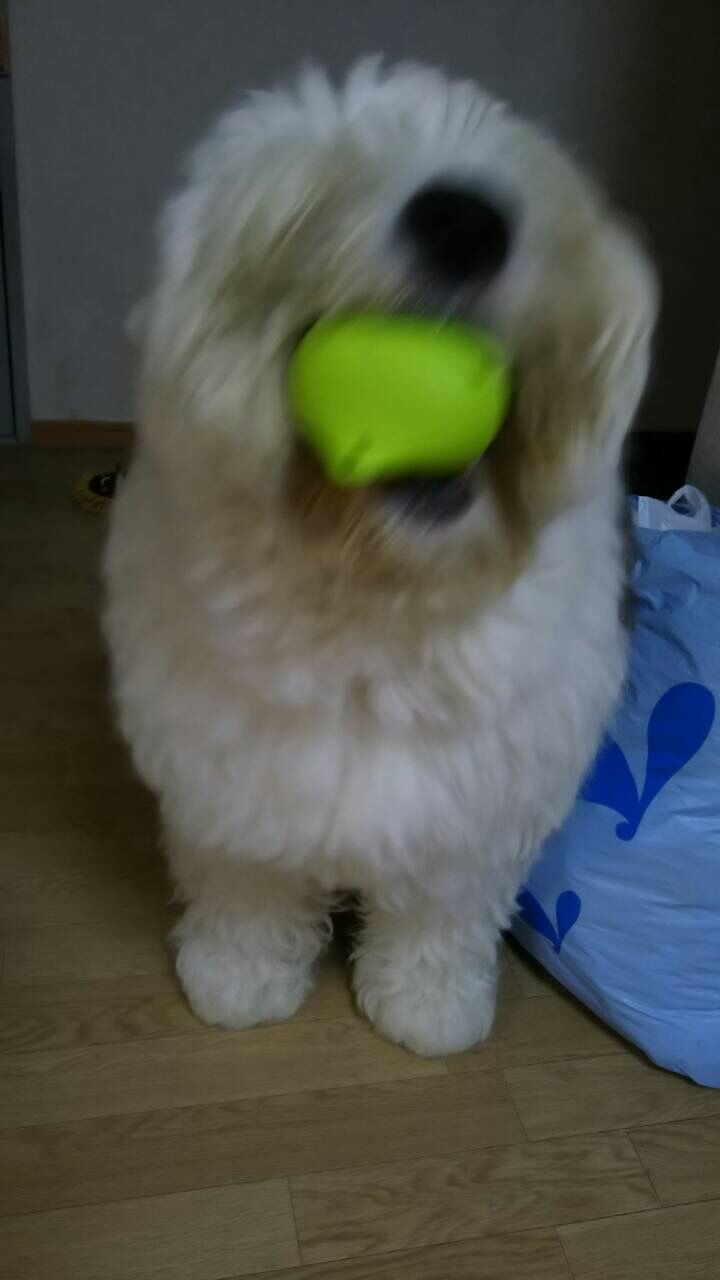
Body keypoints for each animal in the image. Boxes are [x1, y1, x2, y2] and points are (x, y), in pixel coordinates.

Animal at [102, 60, 655, 1054]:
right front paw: (240, 977)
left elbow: (443, 915)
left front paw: (430, 1005)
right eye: (322, 178)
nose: (465, 220)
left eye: (513, 151)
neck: (379, 594)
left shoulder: (472, 818)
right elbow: (248, 890)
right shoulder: (234, 794)